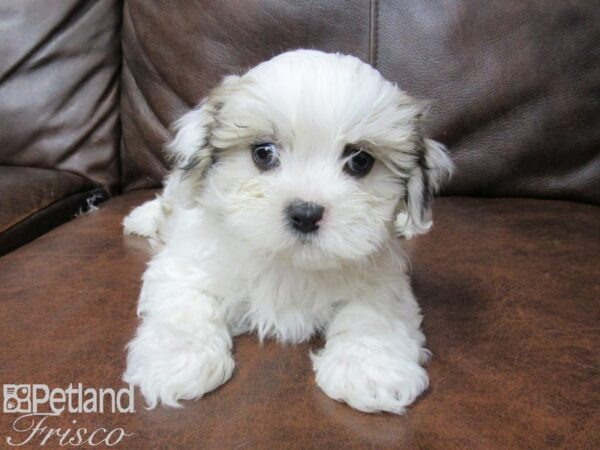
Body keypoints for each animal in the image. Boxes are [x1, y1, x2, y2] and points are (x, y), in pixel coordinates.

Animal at [123, 49, 450, 414]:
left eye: (361, 160)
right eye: (264, 153)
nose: (305, 214)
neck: (290, 262)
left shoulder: (384, 279)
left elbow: (374, 314)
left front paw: (369, 370)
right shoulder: (182, 267)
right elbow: (184, 309)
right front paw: (177, 361)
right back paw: (141, 217)